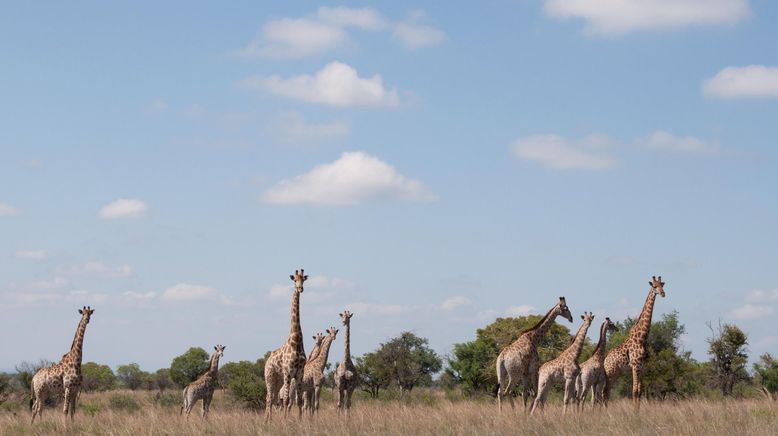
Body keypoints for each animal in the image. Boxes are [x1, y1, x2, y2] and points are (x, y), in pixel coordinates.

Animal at [264, 268, 306, 420]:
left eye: (303, 279)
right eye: (294, 280)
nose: (300, 288)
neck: (296, 341)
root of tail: (267, 361)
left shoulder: (299, 373)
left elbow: (298, 401)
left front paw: (300, 421)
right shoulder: (288, 372)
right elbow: (287, 400)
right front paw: (285, 421)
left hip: (278, 380)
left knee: (273, 398)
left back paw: (269, 421)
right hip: (269, 377)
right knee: (269, 398)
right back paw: (267, 421)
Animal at [604, 276, 664, 408]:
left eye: (662, 285)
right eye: (654, 286)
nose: (663, 293)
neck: (642, 338)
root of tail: (605, 361)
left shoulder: (642, 367)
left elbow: (640, 391)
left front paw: (638, 411)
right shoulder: (635, 366)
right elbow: (635, 391)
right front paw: (634, 412)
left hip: (616, 373)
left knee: (607, 391)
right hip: (610, 372)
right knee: (603, 391)